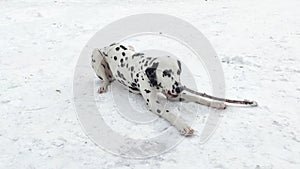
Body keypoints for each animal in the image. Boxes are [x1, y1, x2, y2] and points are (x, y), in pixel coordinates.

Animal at [90, 43, 256, 136]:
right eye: (166, 73)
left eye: (178, 72)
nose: (180, 86)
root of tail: (110, 45)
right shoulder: (154, 104)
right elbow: (171, 114)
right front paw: (184, 127)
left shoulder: (174, 95)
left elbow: (198, 98)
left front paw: (216, 103)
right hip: (96, 54)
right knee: (105, 79)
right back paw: (103, 85)